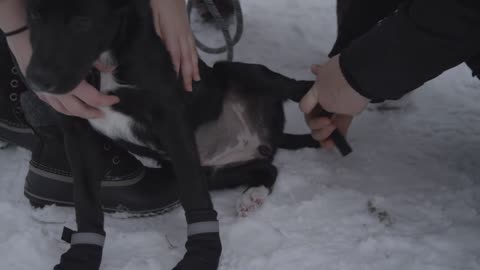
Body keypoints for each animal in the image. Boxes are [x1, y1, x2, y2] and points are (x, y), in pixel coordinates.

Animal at [25, 0, 318, 270]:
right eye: (35, 15)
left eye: (82, 22)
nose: (36, 80)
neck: (105, 61)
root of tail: (272, 135)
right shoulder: (77, 128)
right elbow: (85, 201)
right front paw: (81, 255)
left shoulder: (171, 119)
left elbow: (193, 191)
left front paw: (203, 251)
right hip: (219, 172)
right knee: (267, 168)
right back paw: (253, 195)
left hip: (238, 72)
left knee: (298, 88)